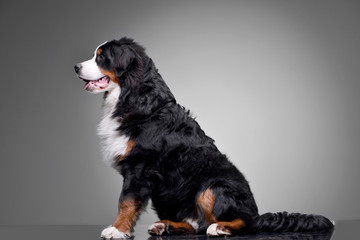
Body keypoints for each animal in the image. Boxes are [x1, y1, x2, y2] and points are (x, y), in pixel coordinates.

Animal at [74, 37, 334, 238]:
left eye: (101, 57)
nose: (75, 67)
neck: (135, 96)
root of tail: (257, 213)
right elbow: (127, 202)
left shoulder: (139, 167)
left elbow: (125, 203)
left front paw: (116, 230)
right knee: (196, 225)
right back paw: (166, 226)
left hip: (212, 187)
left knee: (244, 223)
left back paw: (221, 228)